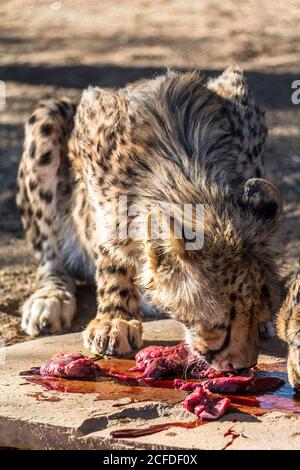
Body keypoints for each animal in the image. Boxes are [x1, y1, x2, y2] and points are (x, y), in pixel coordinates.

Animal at [16, 69, 284, 370]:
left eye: (264, 309)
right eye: (220, 324)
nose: (245, 366)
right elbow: (111, 245)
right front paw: (115, 318)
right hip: (48, 118)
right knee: (49, 254)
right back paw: (51, 297)